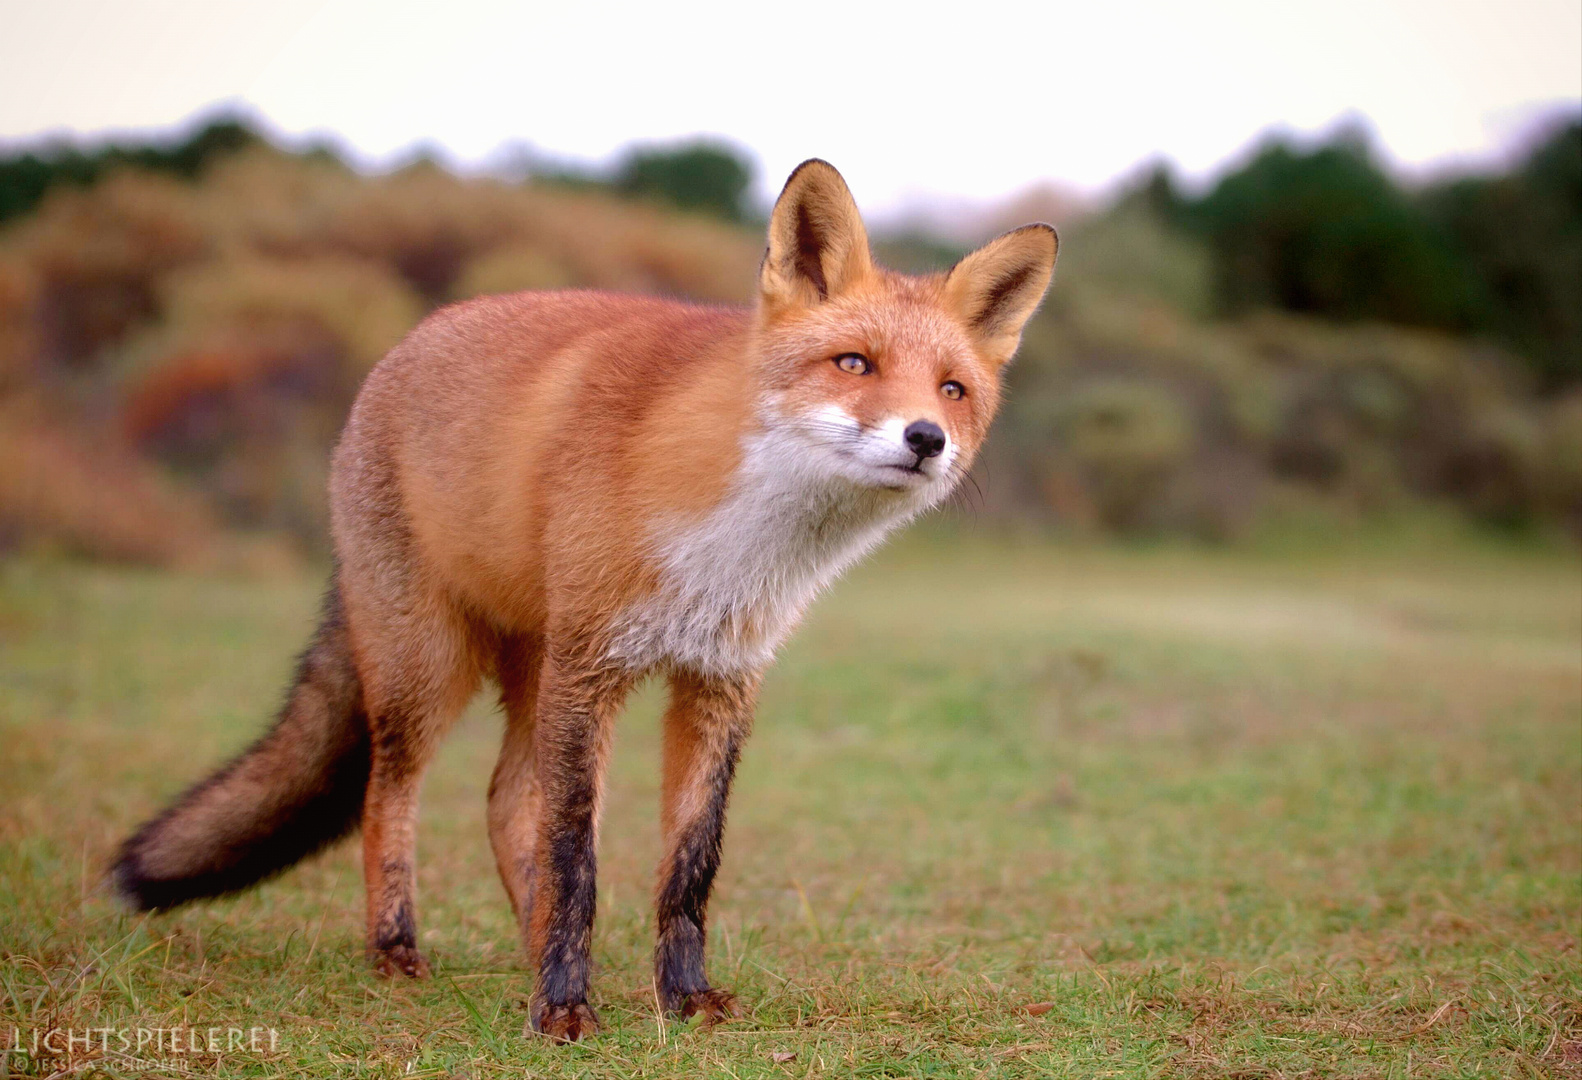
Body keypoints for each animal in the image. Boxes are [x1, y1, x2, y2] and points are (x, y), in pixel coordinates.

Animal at [108, 158, 1050, 1037]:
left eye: (952, 390)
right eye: (854, 363)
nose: (925, 439)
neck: (734, 541)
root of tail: (402, 348)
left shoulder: (719, 680)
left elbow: (687, 866)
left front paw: (681, 997)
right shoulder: (592, 671)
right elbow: (576, 858)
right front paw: (561, 1009)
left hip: (533, 669)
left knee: (502, 803)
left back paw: (530, 946)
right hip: (432, 668)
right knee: (389, 795)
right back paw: (397, 949)